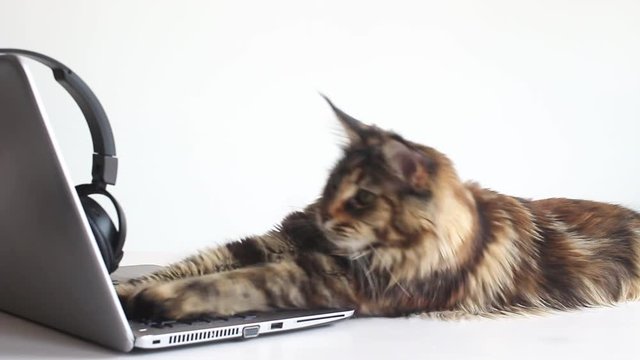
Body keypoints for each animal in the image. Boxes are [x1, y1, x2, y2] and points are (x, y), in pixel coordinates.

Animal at [116, 97, 640, 320]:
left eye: (363, 197)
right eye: (329, 186)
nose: (325, 216)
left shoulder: (340, 280)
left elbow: (237, 283)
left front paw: (156, 300)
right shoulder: (281, 241)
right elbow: (195, 263)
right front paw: (124, 291)